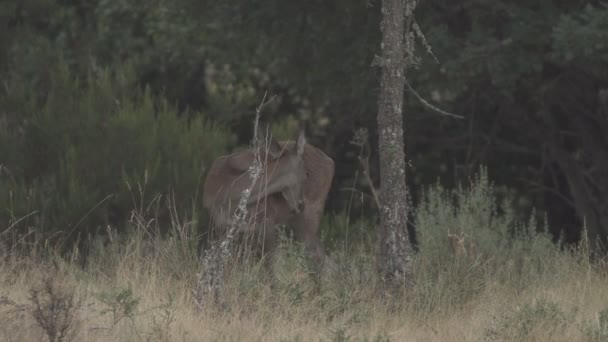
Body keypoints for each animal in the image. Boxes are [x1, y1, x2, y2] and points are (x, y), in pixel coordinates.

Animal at [202, 129, 334, 276]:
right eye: (306, 174)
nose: (301, 205)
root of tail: (330, 161)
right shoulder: (220, 226)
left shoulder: (267, 223)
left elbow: (272, 268)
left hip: (309, 218)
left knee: (321, 258)